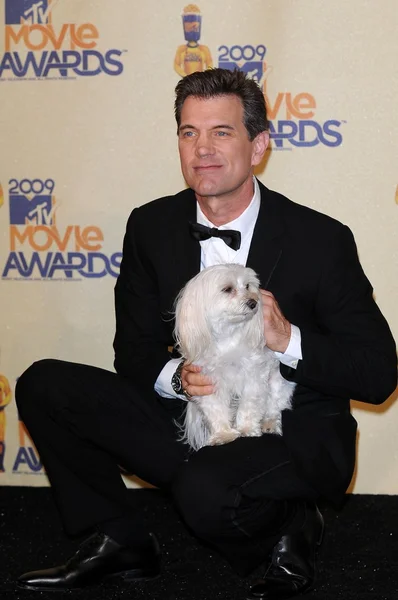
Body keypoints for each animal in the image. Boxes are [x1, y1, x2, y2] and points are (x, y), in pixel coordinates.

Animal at [174, 264, 296, 450]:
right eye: (227, 289)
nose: (253, 303)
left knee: (274, 406)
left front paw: (247, 429)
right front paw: (224, 434)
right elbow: (215, 409)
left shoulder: (254, 376)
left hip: (277, 383)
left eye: (247, 286)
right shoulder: (208, 380)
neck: (227, 336)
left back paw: (269, 423)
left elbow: (249, 405)